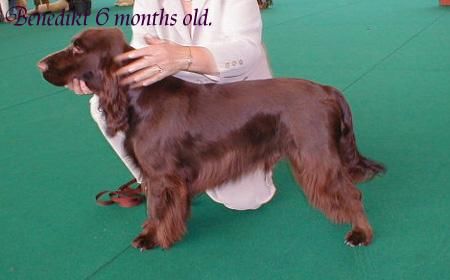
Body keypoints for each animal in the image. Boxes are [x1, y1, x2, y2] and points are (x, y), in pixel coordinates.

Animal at [37, 28, 386, 250]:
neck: (136, 96)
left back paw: (360, 234)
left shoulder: (162, 175)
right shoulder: (161, 177)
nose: (40, 63)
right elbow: (157, 208)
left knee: (352, 194)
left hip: (315, 155)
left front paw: (152, 239)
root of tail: (327, 90)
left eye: (78, 48)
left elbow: (157, 209)